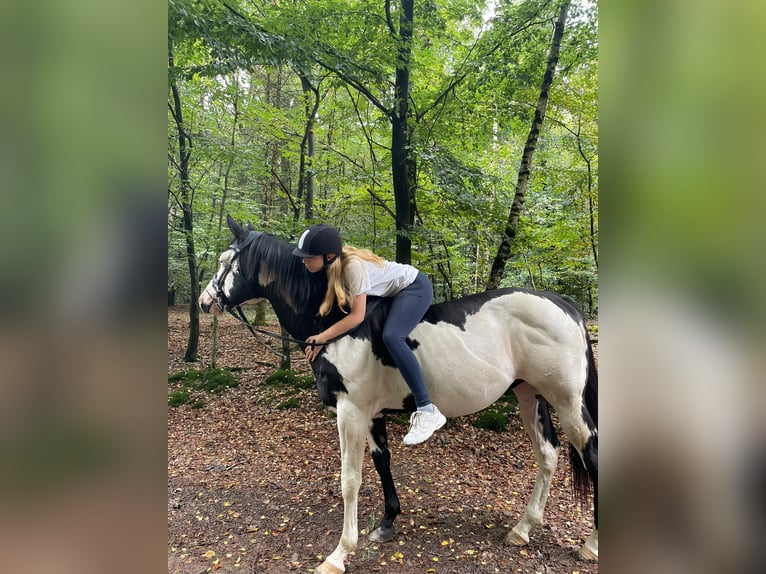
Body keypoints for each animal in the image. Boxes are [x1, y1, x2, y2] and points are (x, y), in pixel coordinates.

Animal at [198, 216, 598, 573]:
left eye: (225, 261)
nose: (204, 302)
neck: (336, 324)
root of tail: (563, 305)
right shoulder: (371, 413)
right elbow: (382, 463)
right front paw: (387, 522)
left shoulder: (350, 411)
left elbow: (350, 480)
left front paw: (339, 553)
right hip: (530, 395)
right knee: (548, 454)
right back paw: (523, 528)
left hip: (567, 401)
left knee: (590, 453)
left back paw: (590, 545)